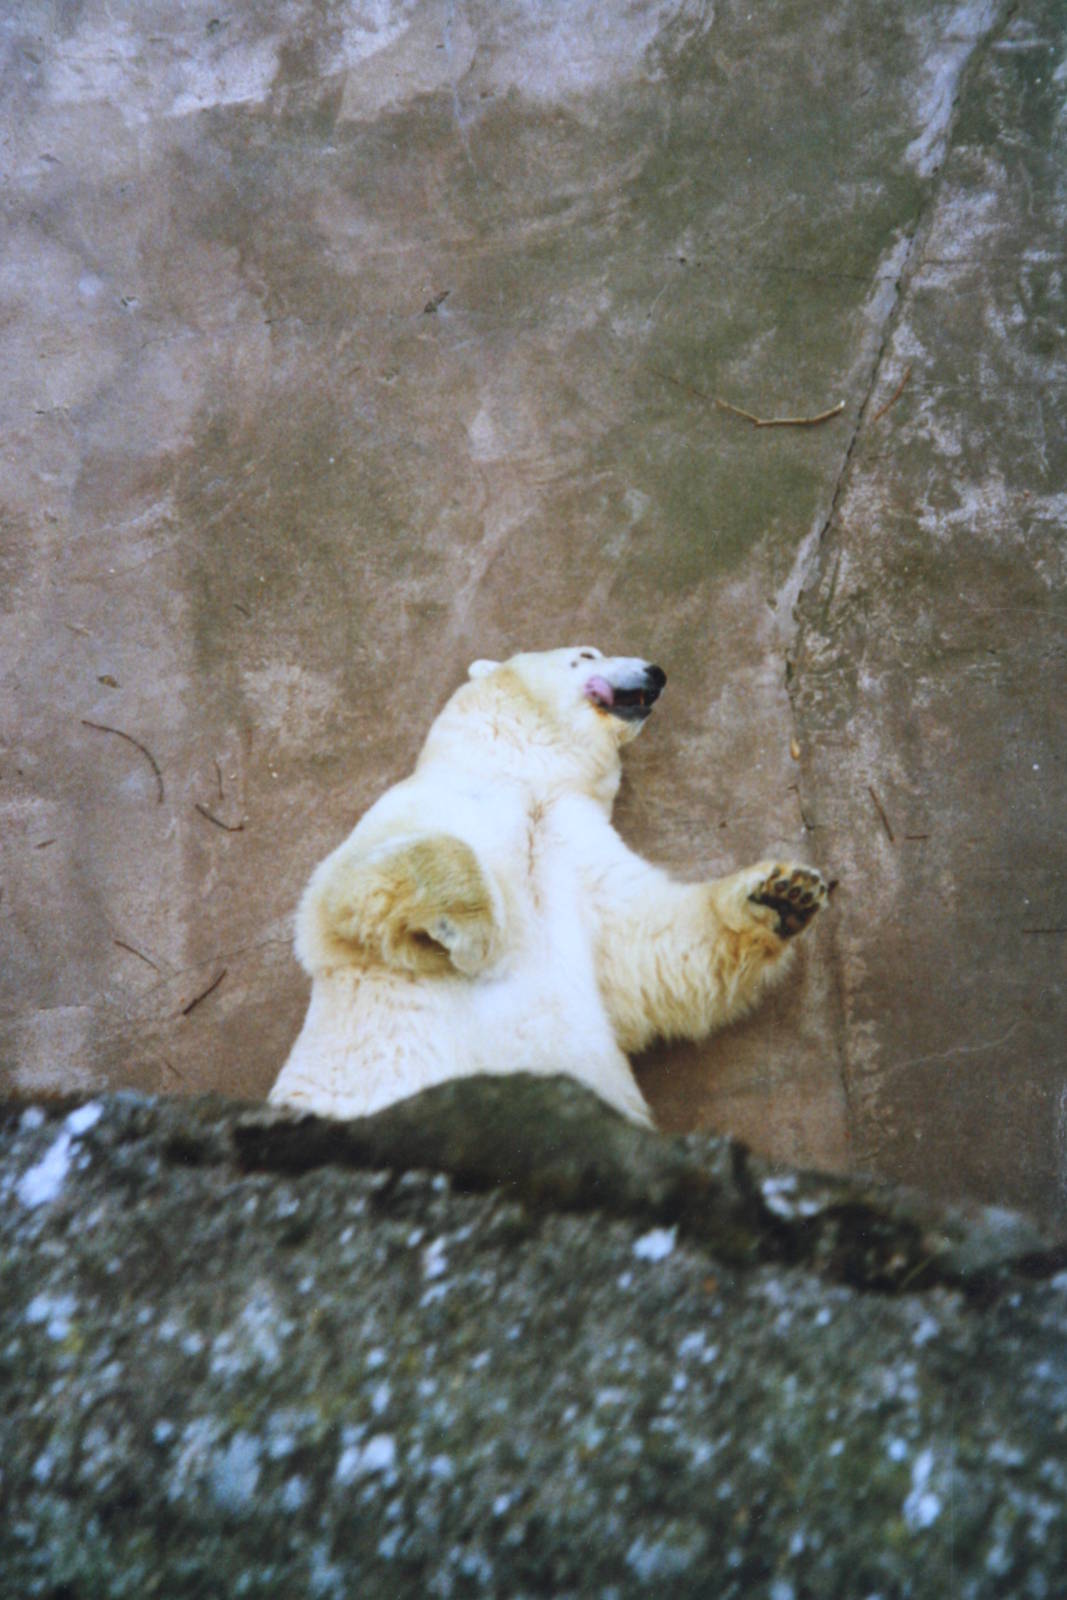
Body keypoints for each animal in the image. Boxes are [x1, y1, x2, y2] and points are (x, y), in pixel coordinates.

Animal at [269, 646, 831, 1126]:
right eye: (586, 653)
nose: (656, 672)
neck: (526, 780)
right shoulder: (432, 802)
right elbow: (347, 889)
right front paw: (475, 935)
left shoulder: (574, 842)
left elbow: (645, 949)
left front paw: (781, 894)